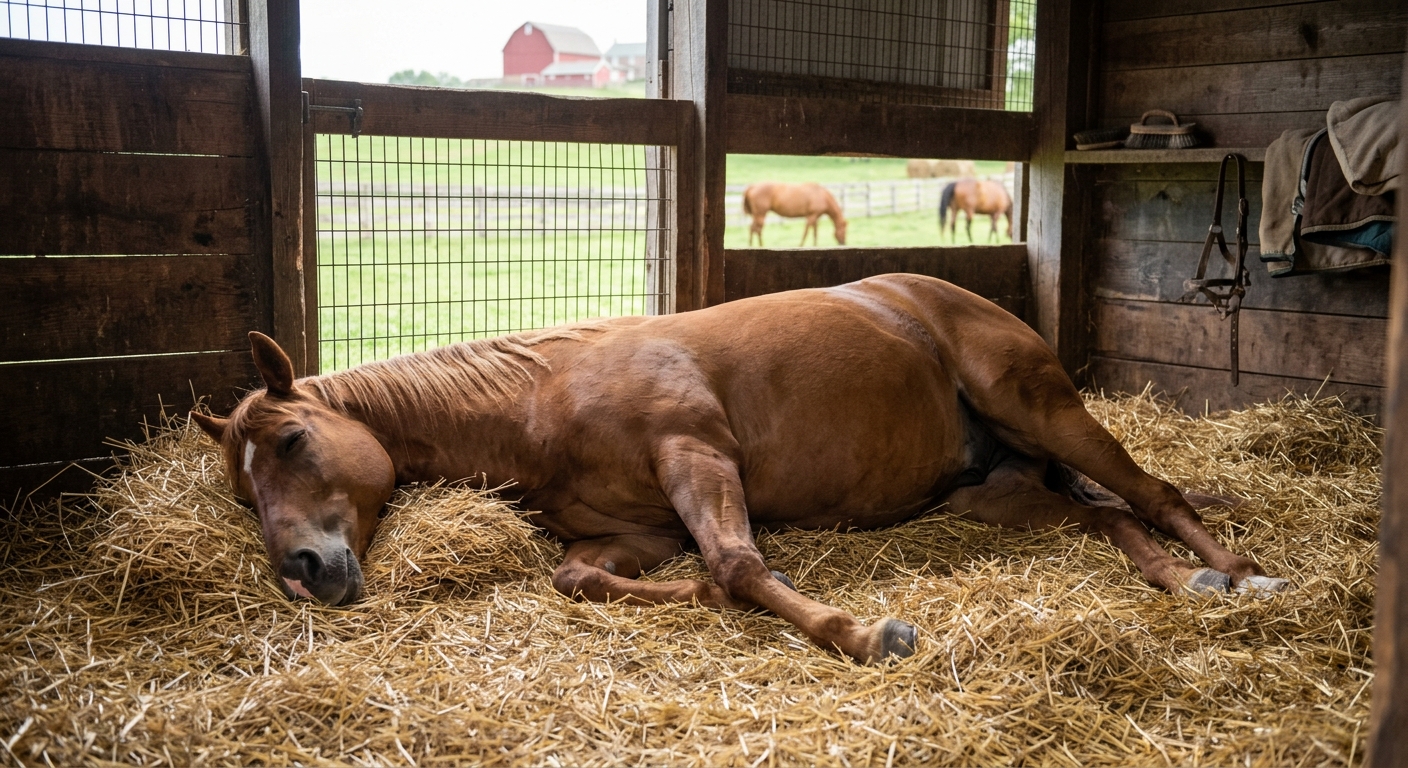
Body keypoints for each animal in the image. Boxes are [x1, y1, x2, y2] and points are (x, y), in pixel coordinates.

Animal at [192, 274, 1290, 665]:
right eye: (244, 492)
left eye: (292, 442)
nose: (303, 570)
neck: (541, 404)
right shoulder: (631, 532)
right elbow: (584, 576)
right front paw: (694, 599)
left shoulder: (697, 454)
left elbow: (737, 562)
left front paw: (865, 633)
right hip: (1002, 494)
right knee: (1107, 518)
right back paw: (1183, 579)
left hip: (1044, 410)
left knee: (1153, 491)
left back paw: (1240, 575)